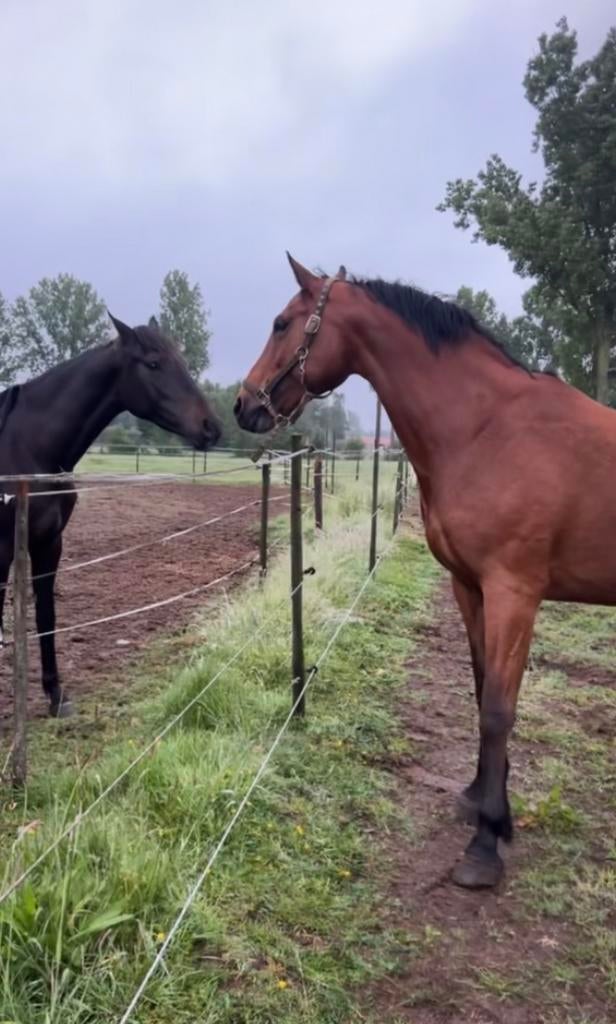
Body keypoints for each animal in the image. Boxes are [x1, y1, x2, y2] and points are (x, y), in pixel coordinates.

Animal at [0, 314, 221, 719]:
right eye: (153, 363)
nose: (210, 426)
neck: (26, 446)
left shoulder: (49, 544)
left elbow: (46, 616)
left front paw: (56, 696)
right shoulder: (3, 548)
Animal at [234, 252, 616, 890]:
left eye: (282, 323)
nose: (243, 405)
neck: (488, 429)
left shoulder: (515, 592)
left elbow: (498, 710)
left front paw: (484, 846)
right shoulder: (470, 586)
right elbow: (481, 687)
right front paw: (484, 802)